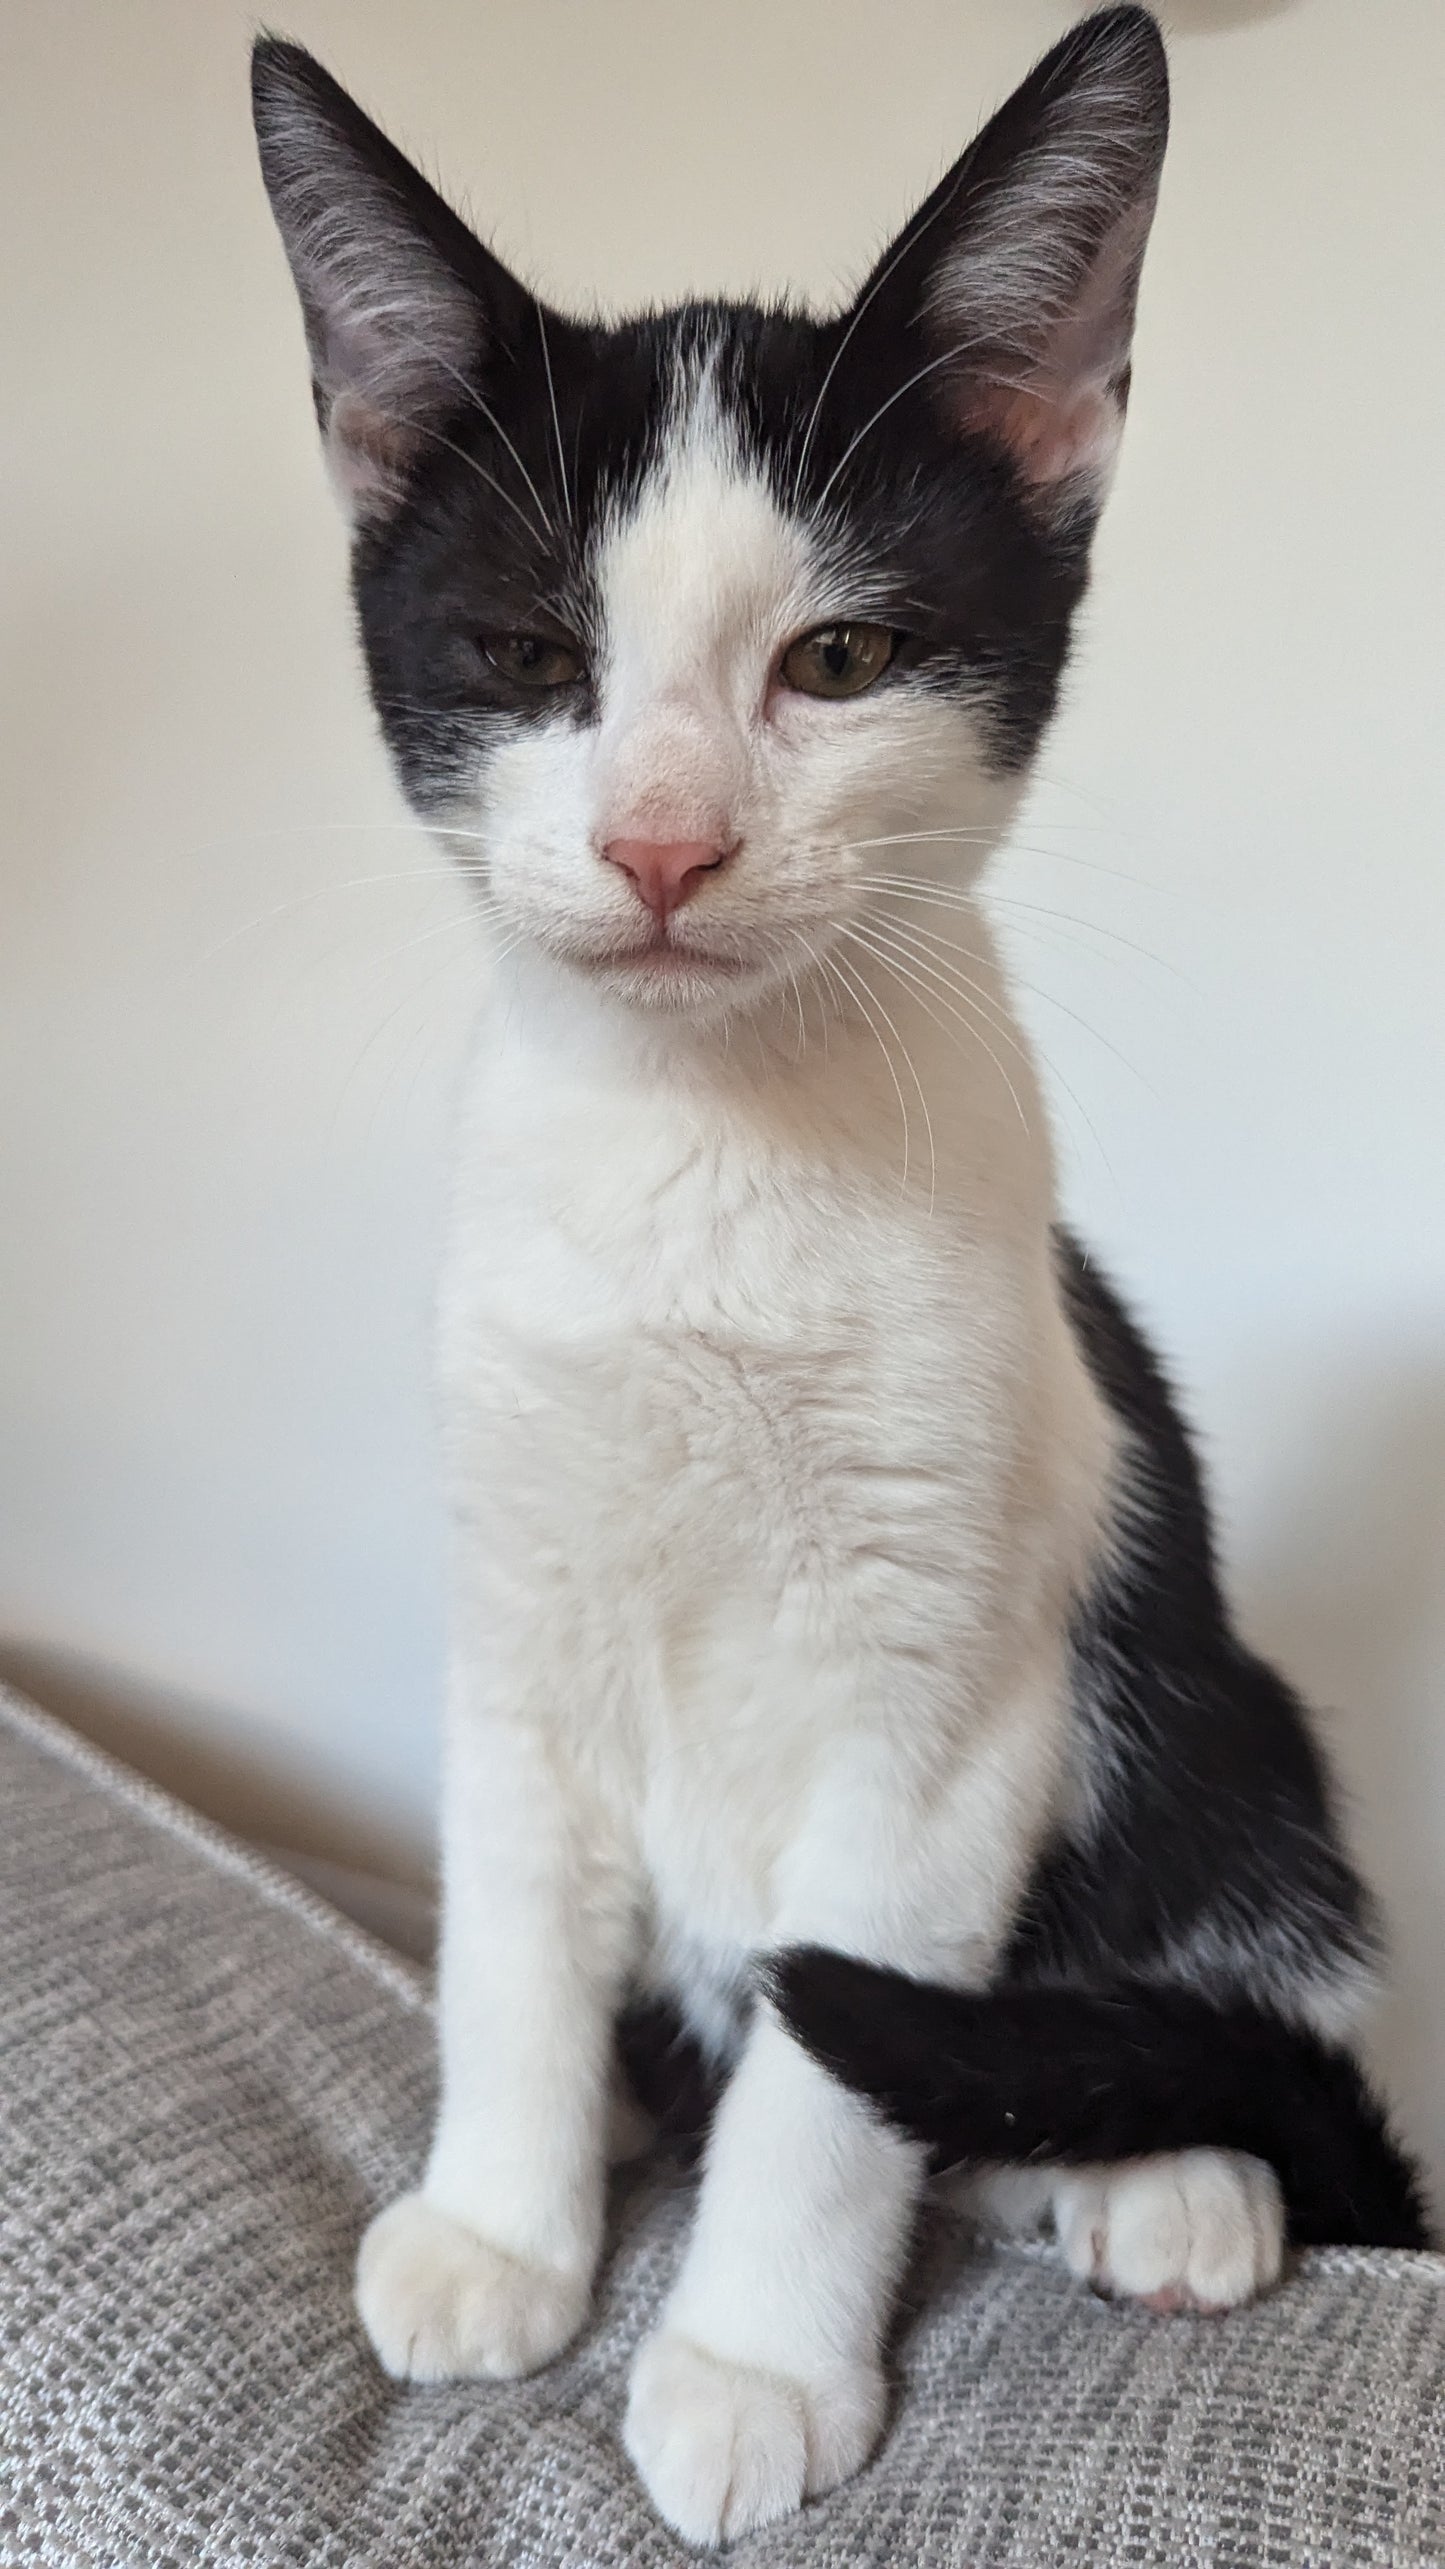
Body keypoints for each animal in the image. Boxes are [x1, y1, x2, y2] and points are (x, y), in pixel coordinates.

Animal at [250, 15, 1419, 2548]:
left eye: (845, 656)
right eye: (527, 655)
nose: (661, 843)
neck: (709, 1144)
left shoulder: (945, 1692)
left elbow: (828, 2060)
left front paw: (750, 2368)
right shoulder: (514, 1607)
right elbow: (513, 1928)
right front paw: (501, 2225)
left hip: (1214, 1717)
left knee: (1159, 1987)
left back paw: (1164, 2181)